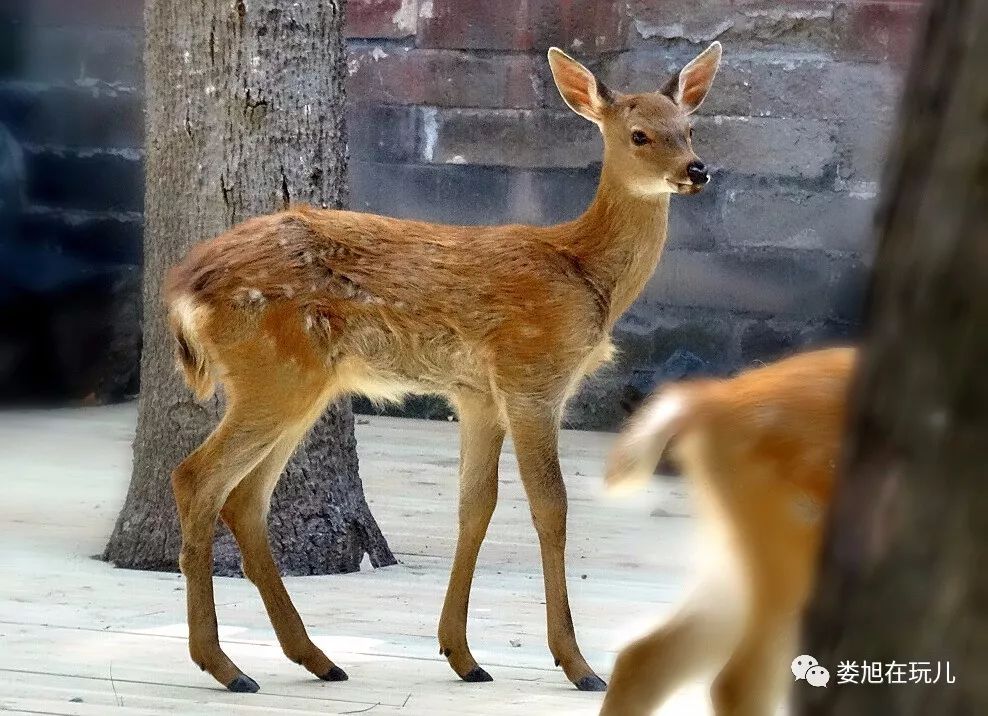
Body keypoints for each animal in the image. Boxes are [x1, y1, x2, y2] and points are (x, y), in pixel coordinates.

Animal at [164, 40, 724, 692]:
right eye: (638, 134)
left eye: (689, 128)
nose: (697, 170)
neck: (585, 274)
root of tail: (184, 288)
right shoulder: (531, 375)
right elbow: (551, 505)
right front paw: (579, 666)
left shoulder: (477, 394)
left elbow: (474, 506)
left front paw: (463, 656)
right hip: (274, 373)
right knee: (197, 478)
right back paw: (226, 666)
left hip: (301, 384)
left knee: (245, 499)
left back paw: (316, 659)